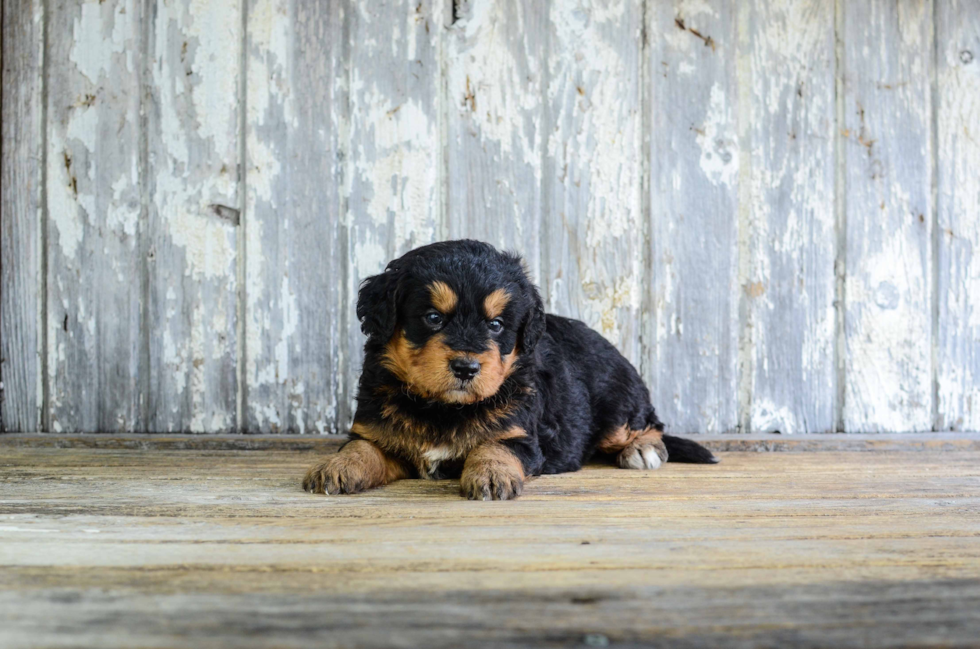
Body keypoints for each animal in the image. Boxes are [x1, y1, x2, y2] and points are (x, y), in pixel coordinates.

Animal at [306, 240, 720, 498]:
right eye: (433, 318)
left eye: (496, 325)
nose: (466, 368)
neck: (443, 407)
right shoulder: (377, 430)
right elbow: (362, 448)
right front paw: (336, 467)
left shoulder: (520, 434)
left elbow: (494, 447)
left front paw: (491, 474)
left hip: (617, 402)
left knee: (648, 423)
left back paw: (643, 450)